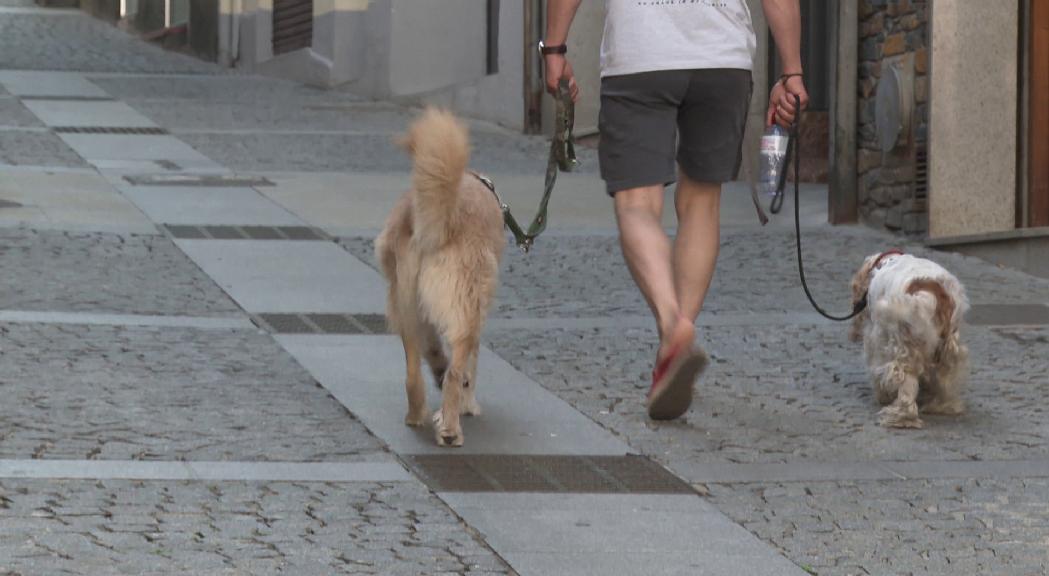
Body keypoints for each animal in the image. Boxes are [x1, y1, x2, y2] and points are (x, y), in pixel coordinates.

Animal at [375, 109, 505, 449]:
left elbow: (433, 350)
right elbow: (470, 367)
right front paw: (468, 404)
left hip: (405, 304)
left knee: (412, 373)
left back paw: (416, 414)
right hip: (466, 311)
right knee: (456, 373)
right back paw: (450, 428)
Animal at [847, 249, 969, 428]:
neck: (886, 261)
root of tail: (930, 291)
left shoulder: (874, 338)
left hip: (903, 347)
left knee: (905, 385)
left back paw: (899, 416)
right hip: (949, 348)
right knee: (945, 381)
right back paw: (940, 406)